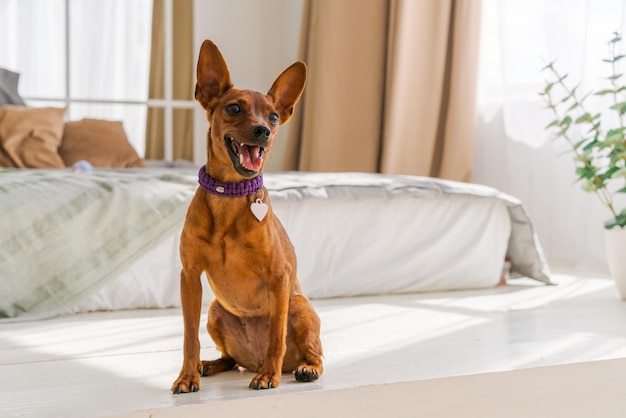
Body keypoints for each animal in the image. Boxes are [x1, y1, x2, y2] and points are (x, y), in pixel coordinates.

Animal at [171, 38, 322, 392]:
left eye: (274, 116)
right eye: (234, 108)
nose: (263, 130)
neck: (230, 195)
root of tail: (250, 359)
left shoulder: (279, 277)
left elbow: (275, 336)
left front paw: (269, 376)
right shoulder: (190, 277)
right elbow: (189, 337)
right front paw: (187, 375)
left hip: (299, 306)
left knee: (313, 355)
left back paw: (299, 369)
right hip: (215, 310)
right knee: (229, 359)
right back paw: (209, 365)